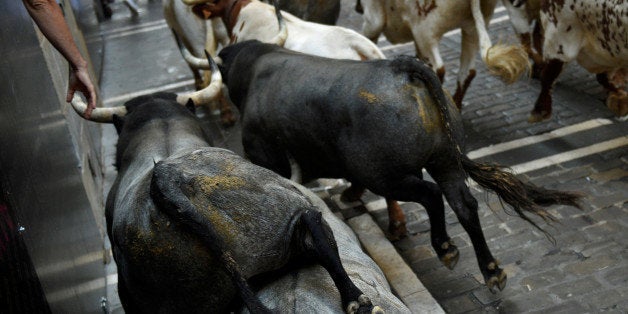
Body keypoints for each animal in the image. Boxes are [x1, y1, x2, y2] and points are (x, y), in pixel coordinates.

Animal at [217, 39, 584, 292]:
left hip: (387, 176)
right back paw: (491, 270)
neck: (253, 71)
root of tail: (400, 67)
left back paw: (446, 249)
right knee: (464, 204)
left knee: (431, 195)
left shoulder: (268, 158)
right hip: (445, 161)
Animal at [356, 0, 528, 108]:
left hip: (426, 30)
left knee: (437, 69)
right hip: (472, 29)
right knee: (467, 72)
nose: (358, 8)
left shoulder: (372, 19)